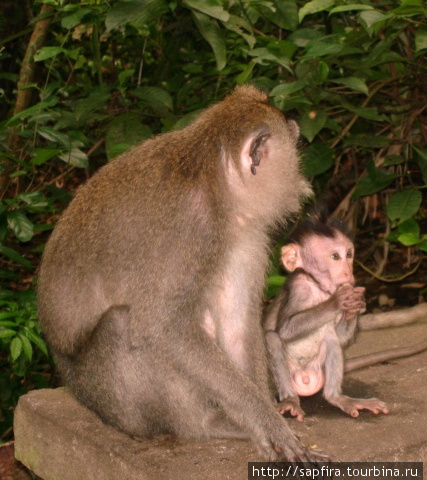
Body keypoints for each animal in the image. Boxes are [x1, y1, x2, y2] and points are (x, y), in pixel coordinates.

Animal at [38, 85, 326, 462]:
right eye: (292, 149)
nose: (299, 179)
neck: (212, 179)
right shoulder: (189, 230)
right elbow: (160, 327)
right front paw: (267, 423)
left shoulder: (243, 236)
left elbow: (234, 325)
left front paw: (264, 418)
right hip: (105, 397)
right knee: (123, 325)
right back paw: (202, 425)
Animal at [264, 213, 392, 420]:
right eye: (335, 257)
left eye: (349, 255)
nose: (348, 272)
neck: (318, 287)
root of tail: (305, 378)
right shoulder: (299, 287)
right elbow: (286, 330)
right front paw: (336, 301)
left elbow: (341, 338)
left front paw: (355, 305)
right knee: (272, 338)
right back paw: (290, 400)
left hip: (318, 367)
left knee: (331, 340)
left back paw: (337, 398)